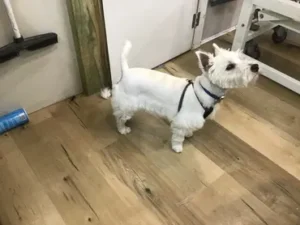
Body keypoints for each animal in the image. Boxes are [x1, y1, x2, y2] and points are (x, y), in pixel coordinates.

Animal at [102, 40, 258, 153]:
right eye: (230, 66)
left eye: (241, 58)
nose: (255, 66)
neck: (205, 91)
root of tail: (126, 71)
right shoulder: (182, 120)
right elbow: (178, 137)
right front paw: (177, 147)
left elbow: (188, 130)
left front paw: (189, 133)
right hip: (127, 104)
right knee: (119, 118)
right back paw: (123, 129)